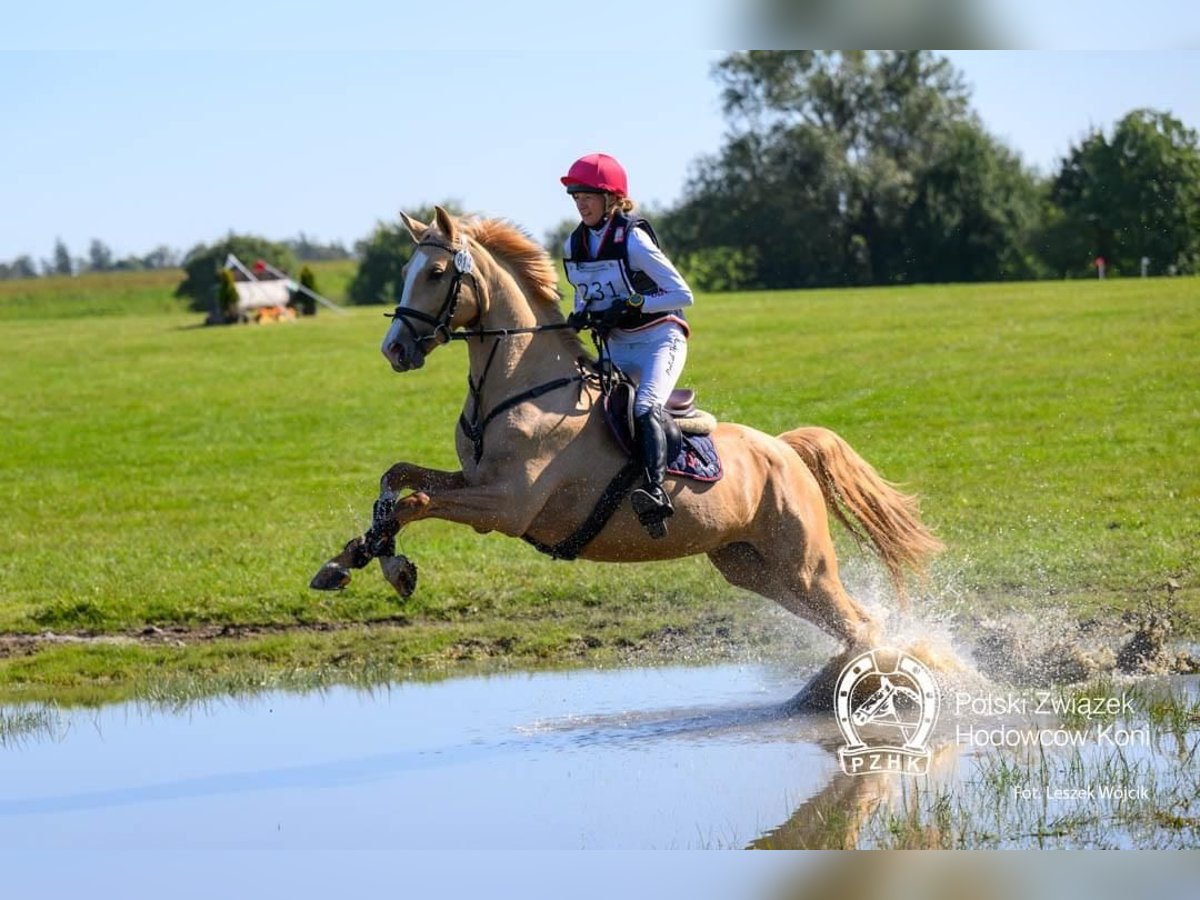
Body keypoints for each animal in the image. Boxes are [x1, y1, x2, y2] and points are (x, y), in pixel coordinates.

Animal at [312, 207, 945, 710]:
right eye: (406, 272)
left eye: (437, 274)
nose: (395, 349)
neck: (520, 385)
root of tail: (785, 448)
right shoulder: (474, 482)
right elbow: (396, 480)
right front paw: (350, 560)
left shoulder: (503, 507)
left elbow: (415, 501)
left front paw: (391, 567)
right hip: (752, 566)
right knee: (849, 625)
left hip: (803, 564)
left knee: (862, 624)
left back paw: (845, 692)